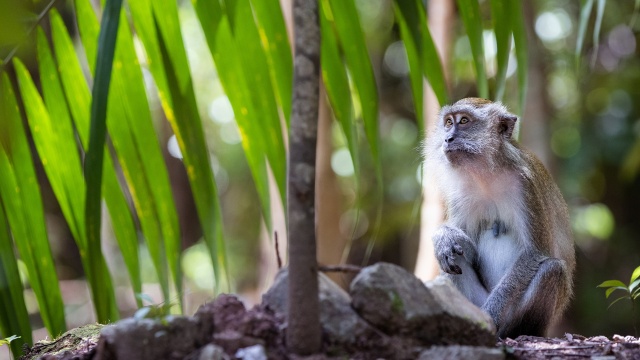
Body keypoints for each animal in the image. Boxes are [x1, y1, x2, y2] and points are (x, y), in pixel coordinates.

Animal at [424, 97, 576, 338]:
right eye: (448, 123)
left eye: (464, 121)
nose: (447, 138)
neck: (488, 175)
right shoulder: (461, 193)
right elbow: (462, 242)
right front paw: (443, 237)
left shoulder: (526, 185)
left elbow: (534, 253)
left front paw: (491, 316)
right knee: (454, 253)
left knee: (552, 270)